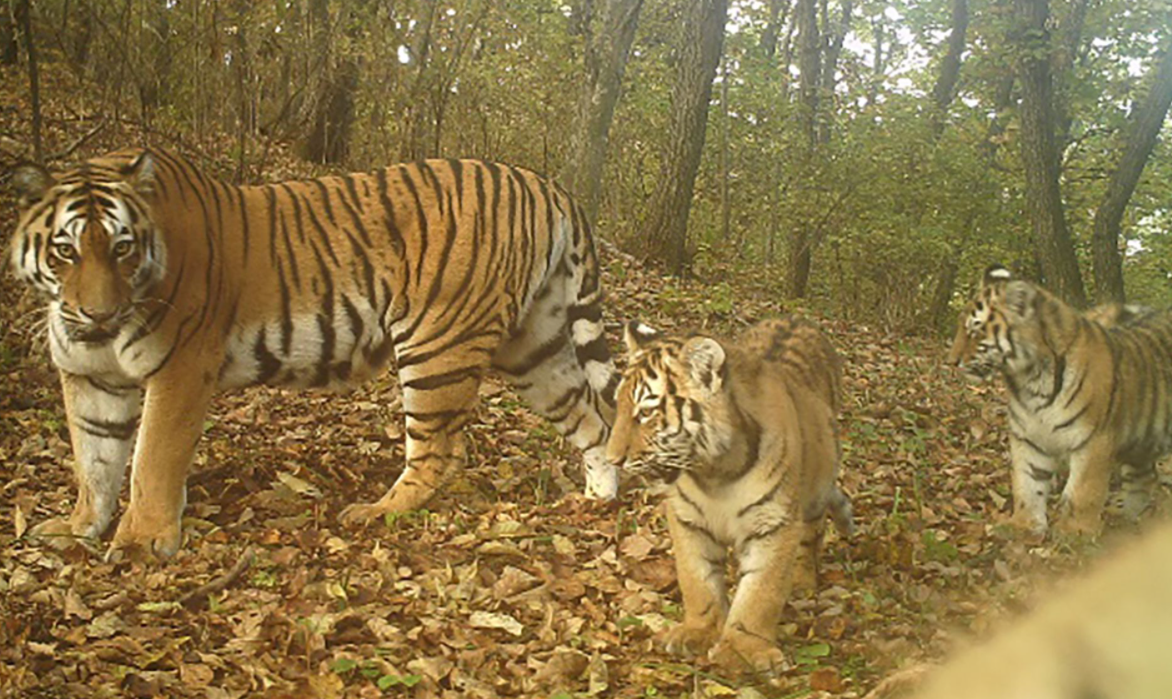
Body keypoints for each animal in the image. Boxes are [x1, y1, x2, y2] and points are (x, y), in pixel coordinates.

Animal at [9, 147, 623, 555]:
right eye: (65, 251)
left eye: (122, 248)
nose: (98, 314)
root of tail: (545, 183)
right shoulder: (90, 378)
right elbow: (94, 460)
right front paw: (78, 528)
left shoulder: (181, 369)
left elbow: (150, 461)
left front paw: (140, 544)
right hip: (535, 348)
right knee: (593, 420)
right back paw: (598, 501)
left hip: (438, 342)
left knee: (441, 452)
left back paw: (375, 513)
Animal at [604, 319, 853, 675]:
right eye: (620, 406)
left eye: (647, 412)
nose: (612, 460)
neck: (716, 473)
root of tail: (797, 320)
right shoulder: (688, 520)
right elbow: (697, 580)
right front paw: (699, 632)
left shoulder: (774, 523)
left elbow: (762, 592)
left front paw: (743, 649)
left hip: (817, 490)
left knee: (811, 536)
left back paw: (803, 581)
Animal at [946, 265, 1167, 537]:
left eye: (975, 331)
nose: (951, 361)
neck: (1029, 381)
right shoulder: (1028, 436)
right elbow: (1027, 485)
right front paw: (1022, 526)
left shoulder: (1094, 440)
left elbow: (1083, 492)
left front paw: (1075, 533)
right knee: (1145, 478)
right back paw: (1126, 521)